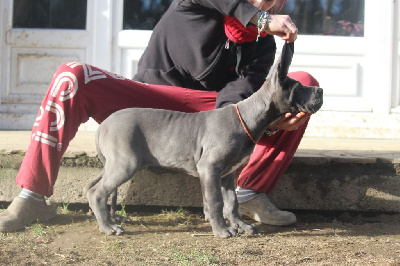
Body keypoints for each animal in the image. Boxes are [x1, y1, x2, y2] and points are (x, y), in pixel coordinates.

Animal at [86, 42, 324, 238]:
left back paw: (105, 221)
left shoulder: (228, 173)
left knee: (91, 188)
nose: (321, 90)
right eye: (299, 87)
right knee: (99, 193)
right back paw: (108, 228)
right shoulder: (209, 167)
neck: (247, 118)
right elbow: (216, 201)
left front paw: (241, 226)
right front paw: (222, 230)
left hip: (113, 164)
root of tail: (104, 124)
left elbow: (232, 203)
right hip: (125, 164)